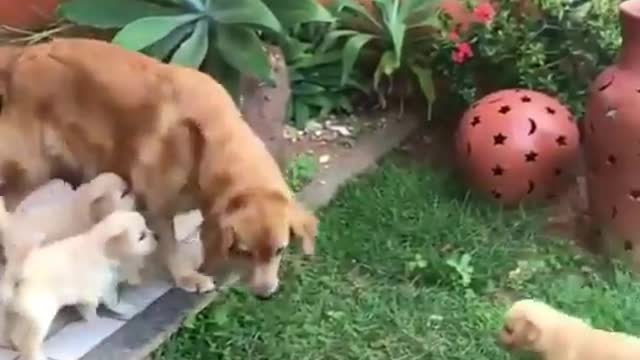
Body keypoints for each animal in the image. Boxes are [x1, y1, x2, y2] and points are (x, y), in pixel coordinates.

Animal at [0, 38, 318, 298]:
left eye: (279, 250)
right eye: (245, 252)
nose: (265, 293)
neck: (208, 142)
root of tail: (21, 54)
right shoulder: (156, 205)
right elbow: (171, 247)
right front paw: (187, 277)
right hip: (30, 168)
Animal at [5, 211, 156, 360]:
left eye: (147, 226)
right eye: (141, 237)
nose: (157, 236)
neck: (100, 246)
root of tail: (17, 273)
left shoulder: (86, 295)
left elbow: (88, 311)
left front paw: (95, 322)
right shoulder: (102, 288)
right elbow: (112, 301)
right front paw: (124, 309)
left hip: (26, 315)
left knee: (17, 336)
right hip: (42, 314)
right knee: (29, 343)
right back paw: (38, 356)